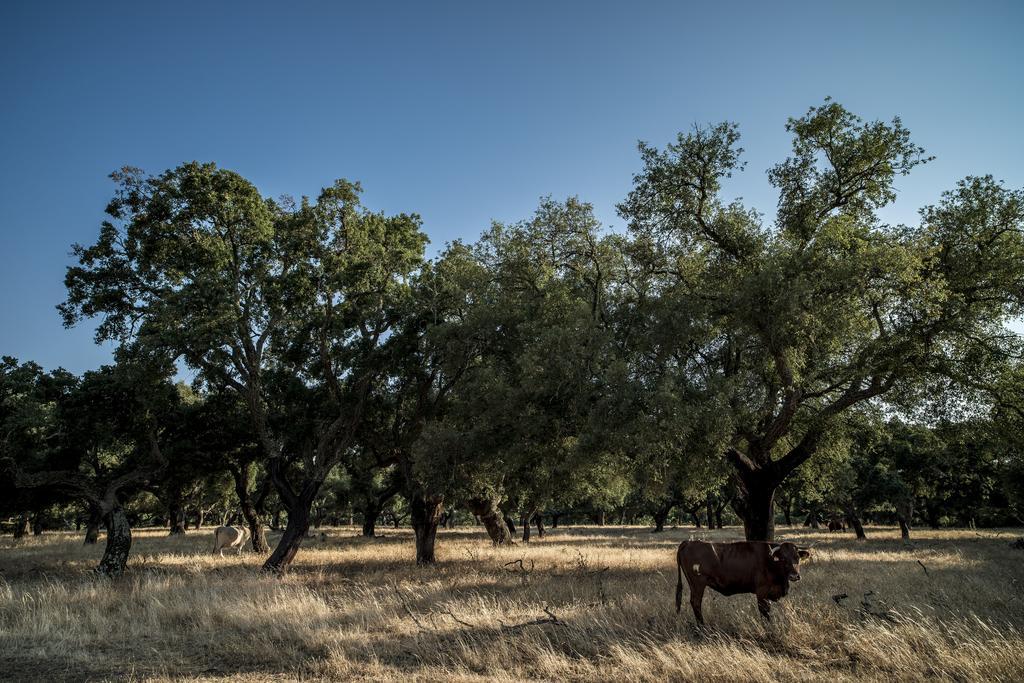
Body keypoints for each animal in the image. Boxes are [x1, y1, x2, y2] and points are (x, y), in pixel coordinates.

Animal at [675, 540, 811, 626]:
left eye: (797, 558)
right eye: (783, 558)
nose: (794, 576)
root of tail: (689, 542)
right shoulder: (762, 592)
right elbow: (764, 611)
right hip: (697, 584)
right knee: (696, 602)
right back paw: (702, 626)